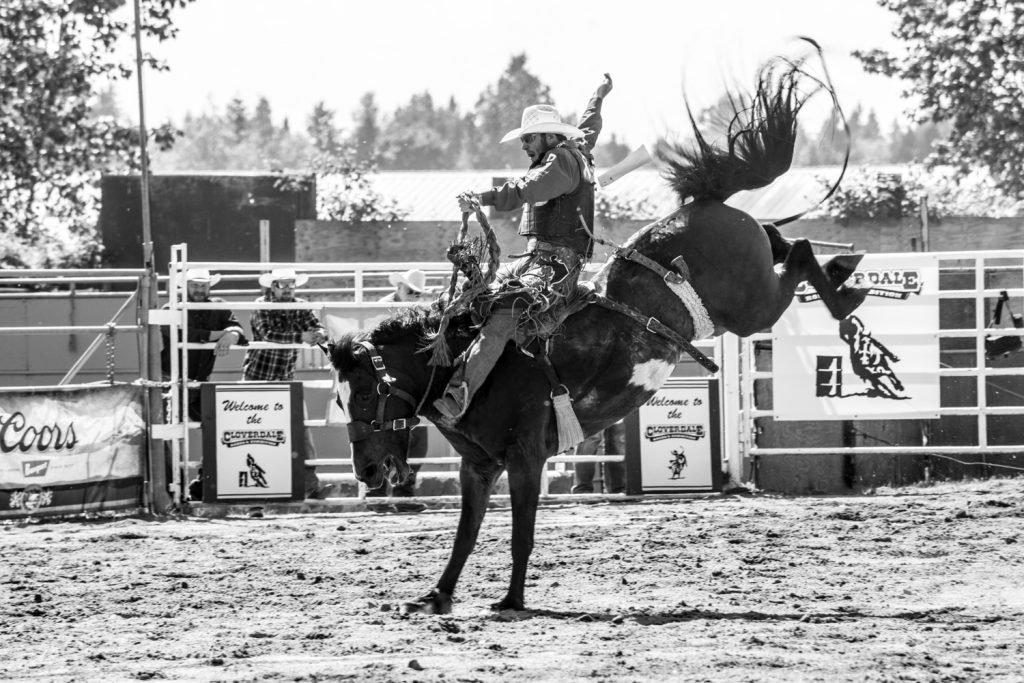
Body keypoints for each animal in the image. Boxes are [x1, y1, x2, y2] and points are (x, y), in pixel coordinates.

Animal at [325, 46, 864, 614]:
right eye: (338, 400)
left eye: (365, 394)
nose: (365, 473)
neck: (463, 362)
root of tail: (702, 203)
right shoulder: (478, 466)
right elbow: (465, 535)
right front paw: (436, 595)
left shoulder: (524, 458)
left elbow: (520, 534)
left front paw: (511, 600)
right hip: (753, 278)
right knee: (783, 238)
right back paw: (845, 271)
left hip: (750, 306)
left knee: (798, 251)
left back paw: (846, 290)